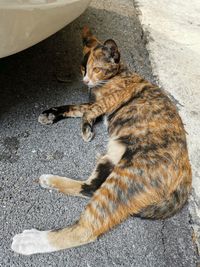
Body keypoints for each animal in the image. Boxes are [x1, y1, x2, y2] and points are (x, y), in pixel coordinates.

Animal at [11, 26, 192, 255]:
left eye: (97, 69)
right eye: (83, 68)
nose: (86, 81)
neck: (117, 74)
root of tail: (187, 171)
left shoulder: (110, 99)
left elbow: (88, 110)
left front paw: (85, 129)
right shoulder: (94, 101)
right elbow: (77, 106)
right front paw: (51, 114)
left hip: (126, 175)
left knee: (87, 229)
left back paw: (32, 240)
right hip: (112, 157)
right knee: (90, 187)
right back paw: (50, 180)